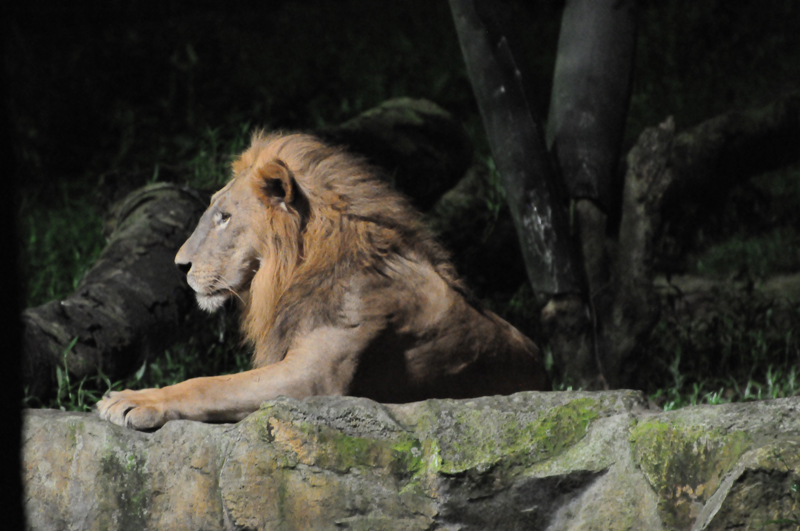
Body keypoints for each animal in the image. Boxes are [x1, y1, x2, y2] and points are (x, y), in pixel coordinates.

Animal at [97, 132, 549, 430]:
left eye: (224, 216)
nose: (179, 265)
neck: (296, 267)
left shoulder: (316, 379)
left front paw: (131, 400)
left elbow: (208, 385)